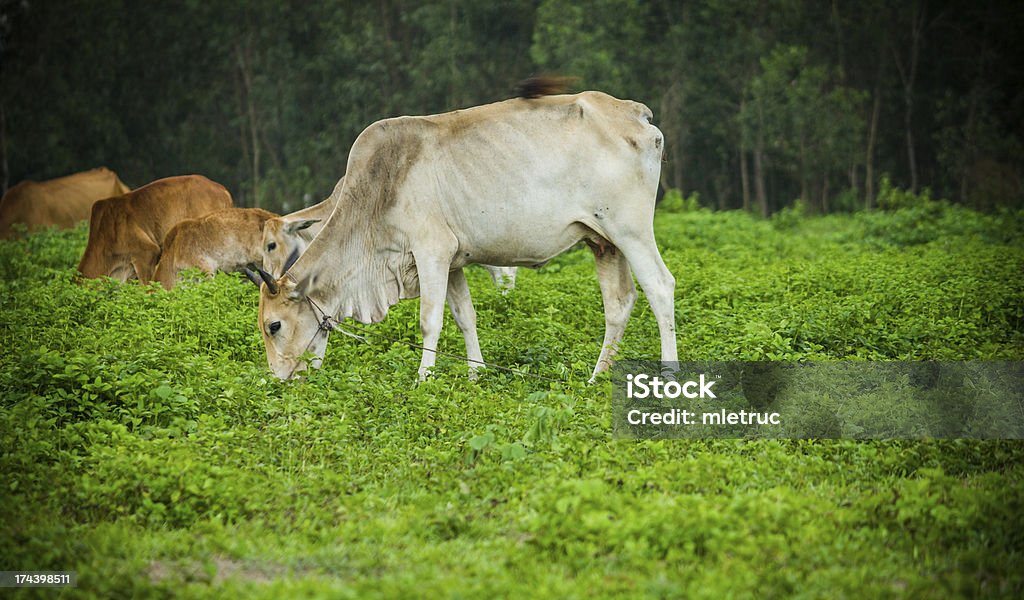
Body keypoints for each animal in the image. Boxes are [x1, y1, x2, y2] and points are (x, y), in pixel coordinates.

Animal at [256, 81, 675, 380]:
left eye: (274, 325)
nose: (280, 378)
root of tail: (635, 112)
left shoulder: (431, 252)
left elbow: (430, 320)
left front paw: (423, 379)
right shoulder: (454, 261)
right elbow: (464, 316)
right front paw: (475, 374)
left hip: (630, 231)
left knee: (659, 287)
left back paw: (669, 374)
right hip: (604, 242)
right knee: (619, 304)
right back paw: (596, 376)